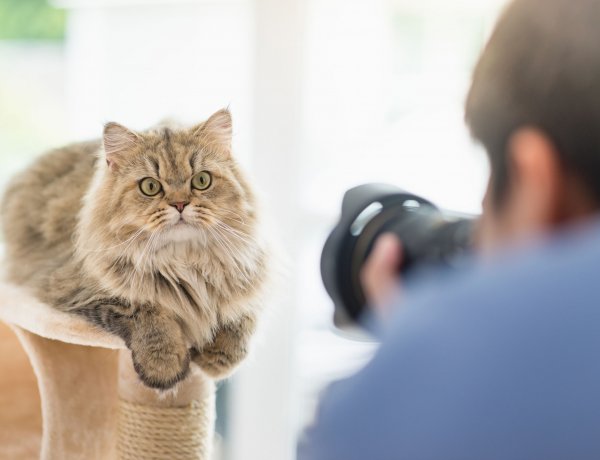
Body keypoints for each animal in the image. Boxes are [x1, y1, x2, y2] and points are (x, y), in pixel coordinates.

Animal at [0, 109, 268, 390]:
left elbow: (240, 319)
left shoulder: (252, 276)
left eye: (202, 180)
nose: (180, 204)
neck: (183, 262)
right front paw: (165, 367)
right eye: (150, 187)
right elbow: (147, 314)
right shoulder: (77, 289)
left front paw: (216, 361)